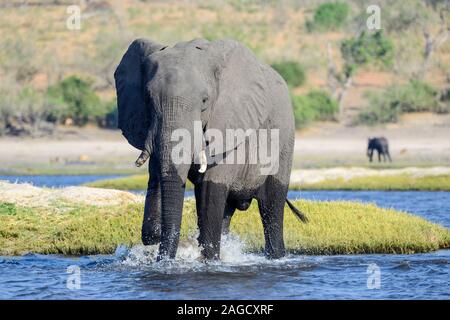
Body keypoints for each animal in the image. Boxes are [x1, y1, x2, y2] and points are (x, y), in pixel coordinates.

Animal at [114, 38, 308, 262]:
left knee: (271, 205)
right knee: (226, 211)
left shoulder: (228, 125)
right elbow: (157, 179)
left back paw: (275, 256)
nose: (164, 258)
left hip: (285, 142)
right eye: (148, 99)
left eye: (205, 101)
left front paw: (206, 257)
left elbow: (210, 189)